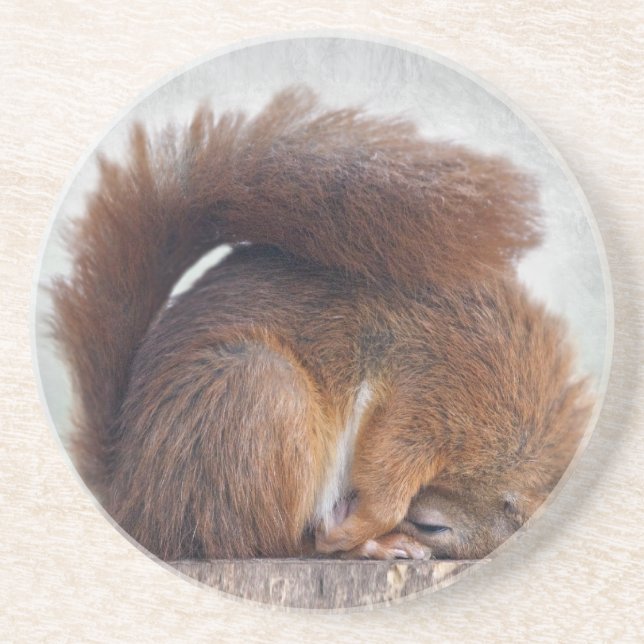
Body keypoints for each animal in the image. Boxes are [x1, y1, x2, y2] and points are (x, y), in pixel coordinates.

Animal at [51, 87, 592, 561]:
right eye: (433, 525)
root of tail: (132, 497)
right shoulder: (437, 391)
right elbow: (388, 466)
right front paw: (363, 527)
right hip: (256, 394)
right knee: (267, 543)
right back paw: (362, 544)